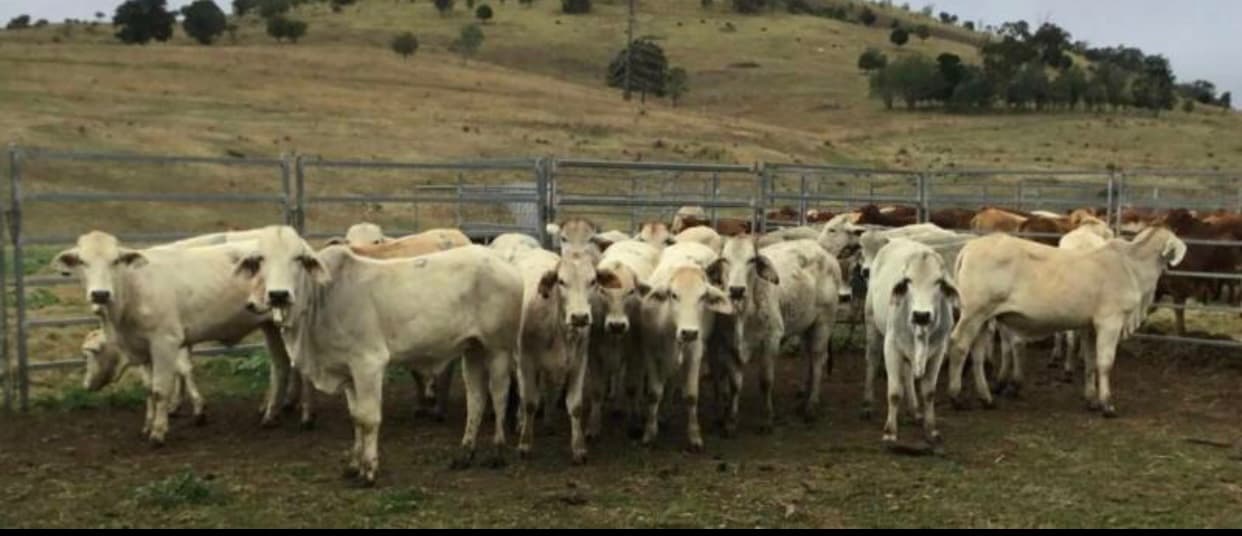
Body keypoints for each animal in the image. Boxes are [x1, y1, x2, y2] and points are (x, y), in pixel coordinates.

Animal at [52, 231, 298, 445]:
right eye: (82, 261)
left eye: (115, 261)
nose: (100, 294)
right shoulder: (145, 349)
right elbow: (150, 388)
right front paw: (149, 424)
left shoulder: (166, 341)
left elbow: (164, 386)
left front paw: (160, 431)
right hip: (270, 326)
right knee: (281, 365)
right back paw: (272, 412)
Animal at [236, 226, 524, 484]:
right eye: (260, 259)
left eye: (298, 258)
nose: (278, 295)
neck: (324, 298)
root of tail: (501, 261)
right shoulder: (348, 371)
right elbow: (356, 418)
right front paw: (354, 466)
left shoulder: (369, 365)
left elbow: (370, 419)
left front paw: (370, 471)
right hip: (473, 348)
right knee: (476, 398)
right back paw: (465, 452)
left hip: (498, 349)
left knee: (499, 395)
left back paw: (497, 452)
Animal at [636, 242, 732, 451]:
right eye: (674, 295)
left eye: (703, 296)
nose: (689, 332)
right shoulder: (650, 352)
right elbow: (654, 393)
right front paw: (649, 432)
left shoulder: (695, 353)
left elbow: (691, 396)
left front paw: (694, 436)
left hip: (711, 345)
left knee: (715, 373)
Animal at [863, 238, 959, 446]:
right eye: (908, 280)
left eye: (938, 281)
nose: (921, 315)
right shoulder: (891, 346)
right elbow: (894, 392)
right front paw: (890, 432)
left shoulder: (938, 351)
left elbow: (929, 392)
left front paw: (931, 430)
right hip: (872, 325)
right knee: (872, 363)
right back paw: (867, 405)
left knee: (907, 374)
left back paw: (914, 410)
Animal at [944, 227, 1186, 417]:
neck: (1131, 266)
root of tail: (969, 247)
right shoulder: (1110, 322)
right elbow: (1105, 363)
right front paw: (1107, 404)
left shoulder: (1090, 326)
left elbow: (1090, 362)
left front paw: (1091, 399)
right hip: (974, 312)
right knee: (959, 345)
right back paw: (956, 397)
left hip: (984, 317)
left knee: (976, 352)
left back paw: (986, 398)